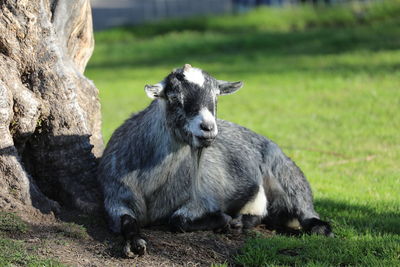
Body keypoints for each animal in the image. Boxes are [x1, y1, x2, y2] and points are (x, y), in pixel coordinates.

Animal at [98, 63, 332, 256]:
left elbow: (178, 220)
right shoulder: (115, 196)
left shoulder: (202, 197)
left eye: (216, 97)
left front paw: (222, 219)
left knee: (303, 206)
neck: (152, 187)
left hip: (282, 168)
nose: (208, 128)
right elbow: (125, 220)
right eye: (174, 98)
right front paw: (135, 244)